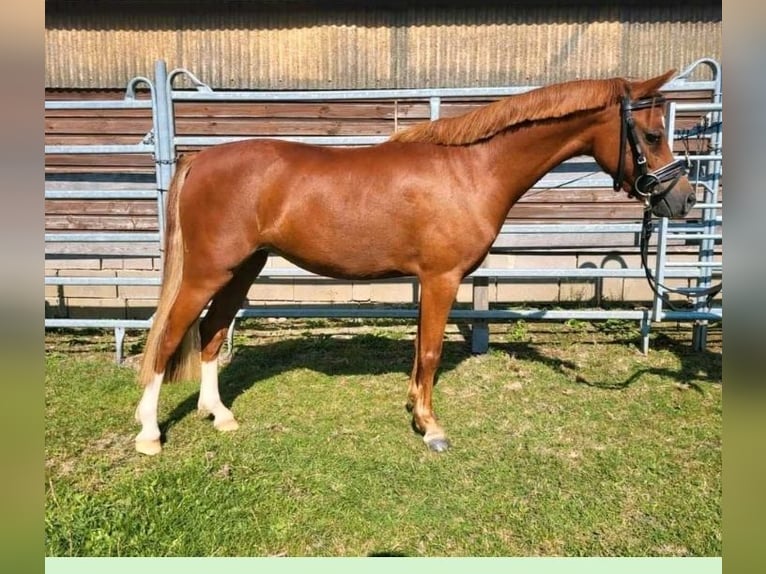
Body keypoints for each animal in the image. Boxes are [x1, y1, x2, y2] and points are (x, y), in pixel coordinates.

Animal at [135, 70, 700, 456]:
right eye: (652, 135)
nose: (684, 200)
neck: (471, 170)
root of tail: (201, 159)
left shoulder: (430, 281)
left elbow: (419, 351)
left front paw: (414, 408)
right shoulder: (442, 279)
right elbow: (429, 352)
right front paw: (431, 428)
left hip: (243, 270)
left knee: (211, 333)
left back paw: (219, 414)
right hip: (209, 271)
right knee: (168, 338)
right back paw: (149, 433)